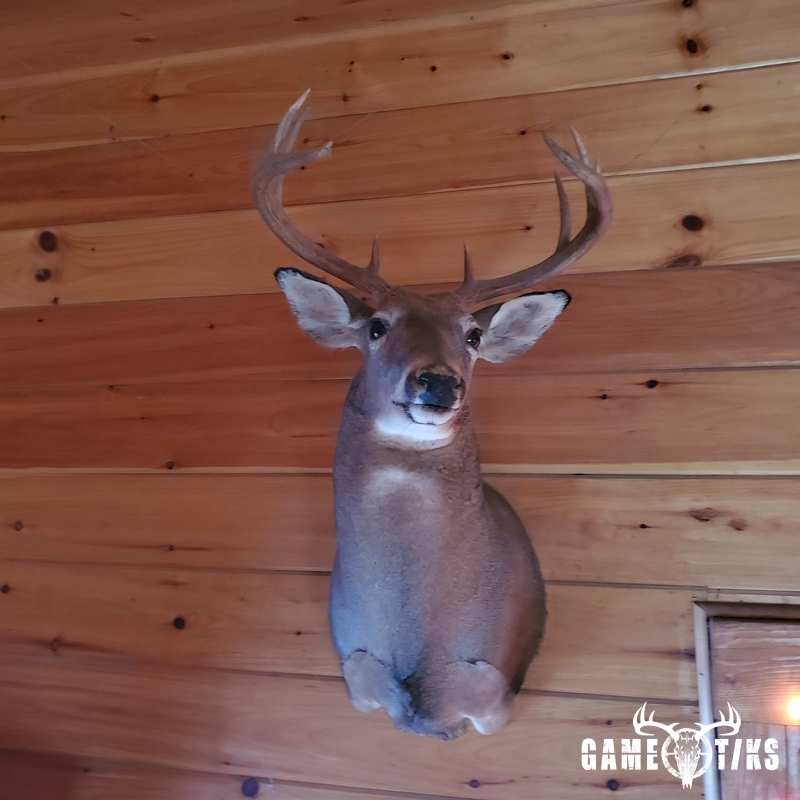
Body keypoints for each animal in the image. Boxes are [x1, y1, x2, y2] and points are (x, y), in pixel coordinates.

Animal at [253, 91, 612, 739]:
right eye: (376, 326)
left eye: (472, 336)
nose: (438, 382)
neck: (416, 644)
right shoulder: (358, 675)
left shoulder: (494, 693)